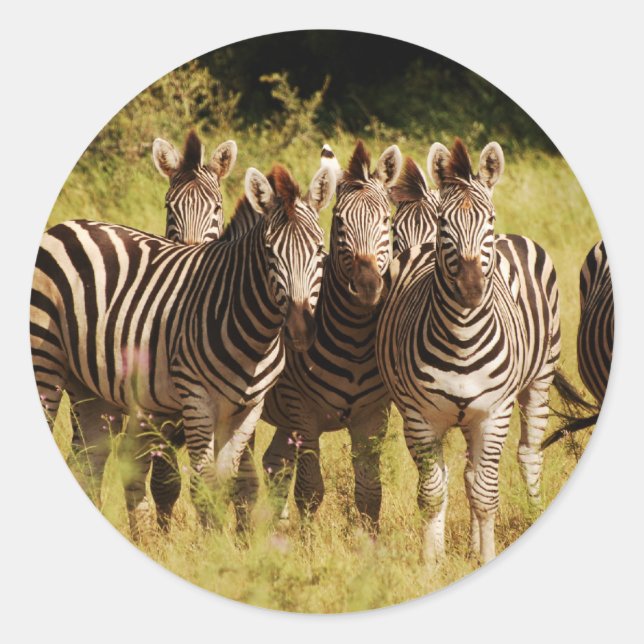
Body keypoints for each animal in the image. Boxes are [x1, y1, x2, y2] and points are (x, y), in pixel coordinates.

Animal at [31, 163, 335, 537]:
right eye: (269, 252)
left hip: (90, 387)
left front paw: (227, 543)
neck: (254, 333)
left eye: (319, 249)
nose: (299, 331)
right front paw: (212, 545)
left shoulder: (248, 409)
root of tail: (64, 226)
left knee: (87, 462)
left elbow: (227, 481)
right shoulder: (196, 399)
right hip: (44, 358)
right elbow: (204, 485)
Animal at [261, 140, 402, 526]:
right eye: (338, 222)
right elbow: (309, 491)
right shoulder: (303, 414)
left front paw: (370, 542)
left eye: (387, 220)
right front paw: (308, 543)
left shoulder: (373, 417)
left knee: (273, 463)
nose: (367, 287)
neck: (354, 341)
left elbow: (370, 493)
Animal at [376, 138, 561, 564]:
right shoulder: (419, 418)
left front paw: (487, 557)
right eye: (445, 223)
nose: (472, 290)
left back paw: (531, 515)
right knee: (463, 474)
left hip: (540, 379)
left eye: (488, 219)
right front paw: (431, 562)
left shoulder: (494, 414)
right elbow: (433, 493)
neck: (462, 338)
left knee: (526, 454)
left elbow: (486, 494)